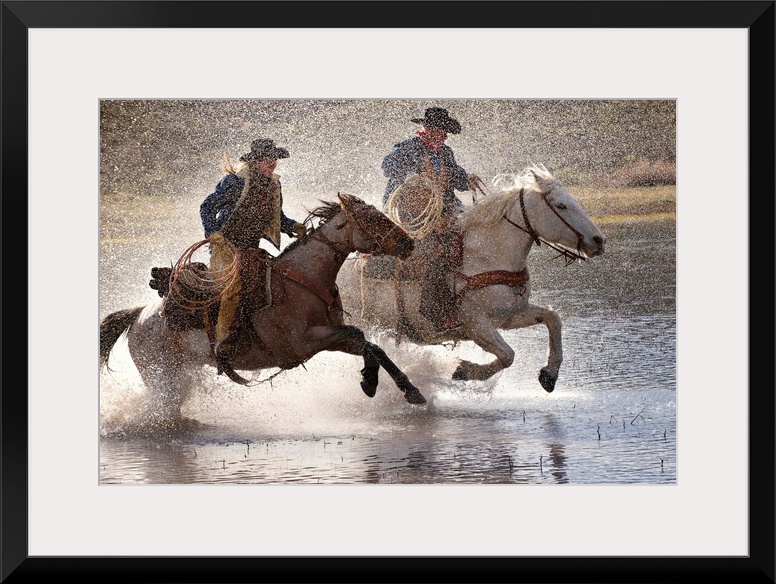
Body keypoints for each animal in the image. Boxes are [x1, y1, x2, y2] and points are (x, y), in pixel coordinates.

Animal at [100, 193, 428, 422]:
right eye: (372, 218)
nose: (408, 243)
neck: (305, 278)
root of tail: (140, 315)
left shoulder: (331, 337)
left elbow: (371, 345)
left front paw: (399, 388)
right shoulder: (306, 342)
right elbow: (360, 335)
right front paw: (375, 383)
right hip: (162, 376)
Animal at [336, 165, 607, 392]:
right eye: (561, 205)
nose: (599, 241)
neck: (489, 255)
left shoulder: (509, 315)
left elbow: (553, 319)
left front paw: (549, 374)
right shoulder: (475, 324)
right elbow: (508, 355)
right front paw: (464, 371)